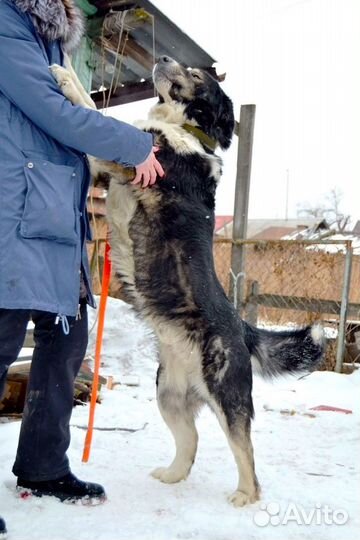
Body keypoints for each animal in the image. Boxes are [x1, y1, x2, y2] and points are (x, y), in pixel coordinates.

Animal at [51, 57, 326, 508]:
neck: (187, 132)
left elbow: (95, 113)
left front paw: (65, 75)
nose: (163, 59)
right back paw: (172, 474)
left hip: (227, 397)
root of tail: (244, 329)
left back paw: (244, 496)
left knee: (245, 451)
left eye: (197, 75)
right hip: (168, 396)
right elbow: (98, 119)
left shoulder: (129, 160)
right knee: (191, 442)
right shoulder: (108, 168)